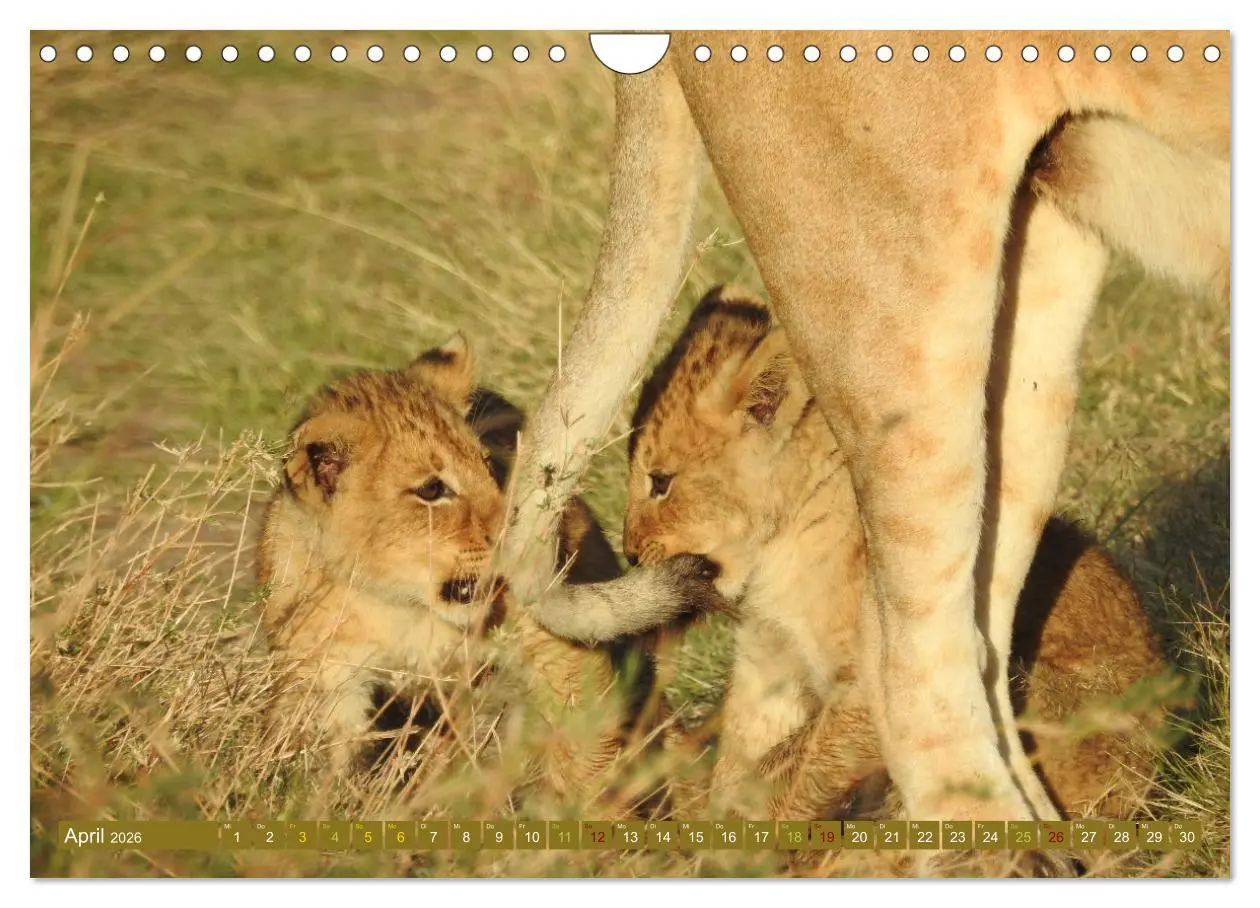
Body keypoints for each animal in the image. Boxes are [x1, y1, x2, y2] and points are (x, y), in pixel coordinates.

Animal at [257, 333, 721, 793]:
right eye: (431, 490)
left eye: (484, 464)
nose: (514, 534)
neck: (398, 605)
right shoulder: (327, 678)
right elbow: (328, 762)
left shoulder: (552, 646)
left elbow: (584, 749)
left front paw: (580, 806)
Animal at [500, 31, 1227, 822]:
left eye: (661, 482)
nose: (633, 554)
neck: (783, 540)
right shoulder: (770, 660)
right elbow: (751, 763)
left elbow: (802, 761)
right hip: (909, 298)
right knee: (922, 668)